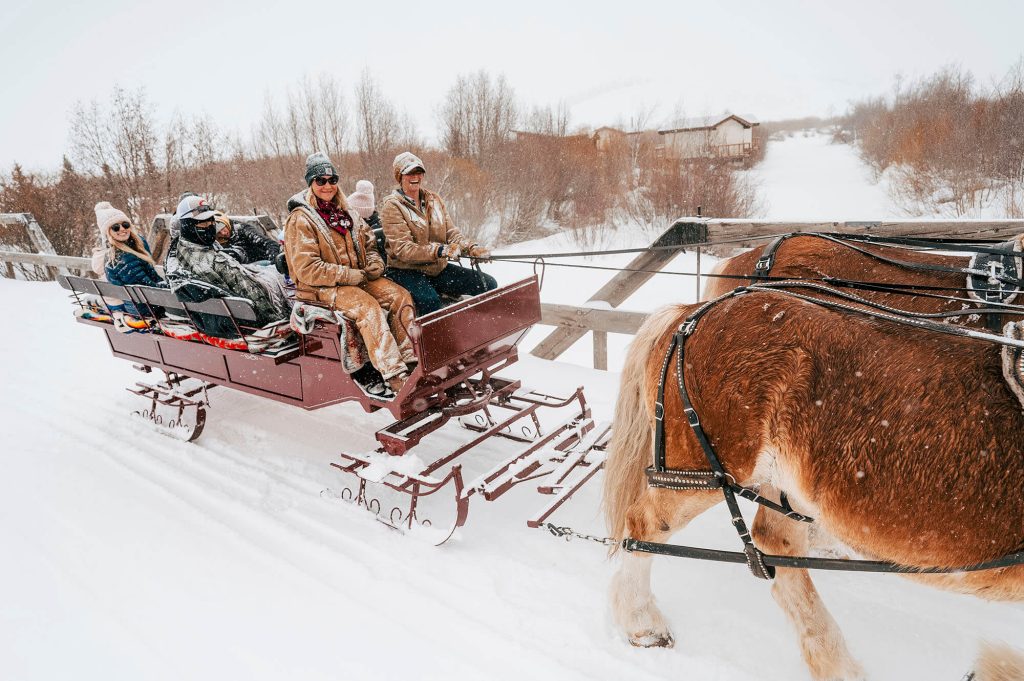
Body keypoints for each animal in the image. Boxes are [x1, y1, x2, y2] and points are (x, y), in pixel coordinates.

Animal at [603, 288, 1024, 680]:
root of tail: (693, 314)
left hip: (788, 489)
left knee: (777, 545)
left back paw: (835, 664)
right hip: (704, 473)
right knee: (645, 525)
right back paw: (643, 624)